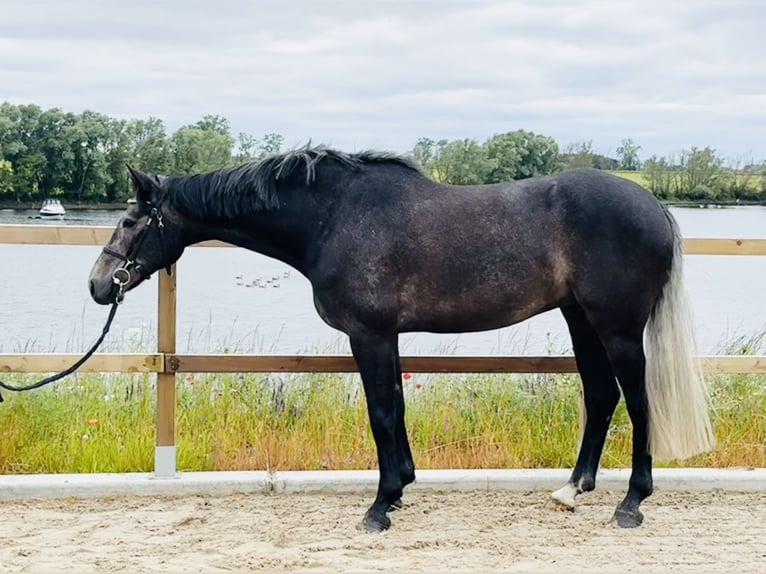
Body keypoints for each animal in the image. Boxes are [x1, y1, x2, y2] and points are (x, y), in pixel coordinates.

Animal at [87, 146, 716, 532]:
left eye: (130, 222)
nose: (98, 284)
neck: (333, 218)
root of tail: (654, 204)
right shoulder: (387, 337)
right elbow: (396, 408)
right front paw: (401, 487)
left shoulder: (368, 335)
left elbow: (381, 413)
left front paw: (379, 506)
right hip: (580, 319)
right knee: (601, 395)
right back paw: (572, 490)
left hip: (617, 327)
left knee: (638, 400)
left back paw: (631, 503)